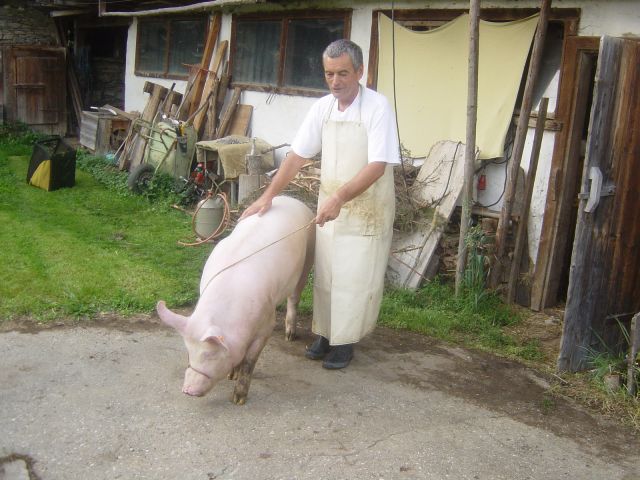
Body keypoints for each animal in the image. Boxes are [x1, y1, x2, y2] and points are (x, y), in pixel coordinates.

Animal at [156, 195, 314, 404]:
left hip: (309, 257)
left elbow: (249, 360)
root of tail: (291, 198)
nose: (188, 390)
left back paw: (290, 336)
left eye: (209, 355)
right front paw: (232, 375)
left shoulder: (266, 325)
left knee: (294, 298)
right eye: (189, 352)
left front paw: (238, 400)